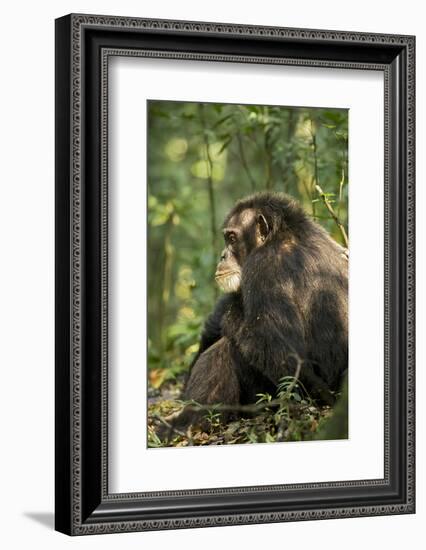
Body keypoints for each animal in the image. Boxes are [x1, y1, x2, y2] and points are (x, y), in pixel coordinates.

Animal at [171, 193, 348, 432]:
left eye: (232, 238)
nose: (222, 255)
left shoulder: (263, 268)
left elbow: (278, 350)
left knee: (230, 347)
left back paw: (187, 422)